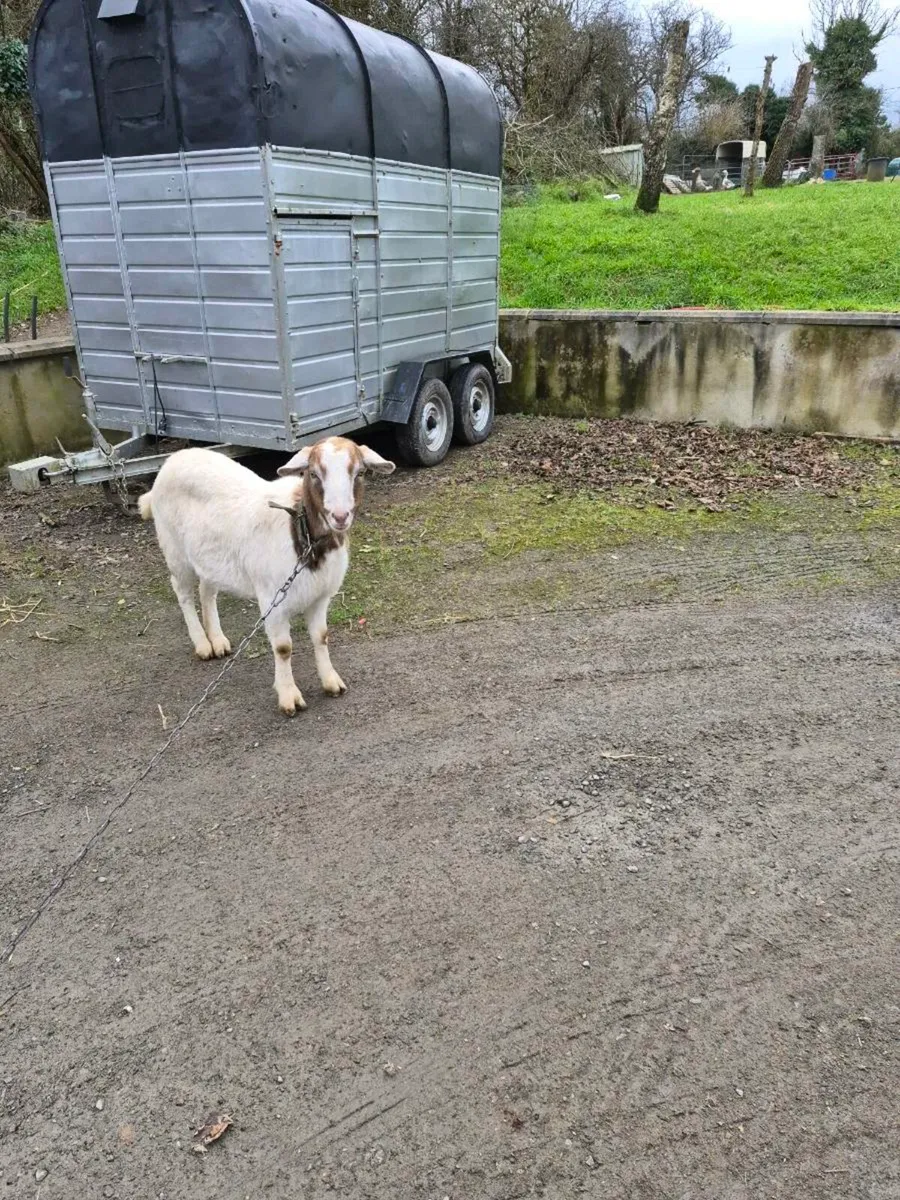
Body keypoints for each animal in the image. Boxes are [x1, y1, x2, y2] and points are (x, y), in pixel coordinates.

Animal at [138, 437, 395, 714]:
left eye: (359, 473)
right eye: (313, 474)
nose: (339, 516)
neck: (300, 533)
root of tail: (172, 461)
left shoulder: (319, 597)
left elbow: (321, 637)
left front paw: (331, 682)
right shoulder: (273, 599)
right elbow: (283, 649)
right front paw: (289, 697)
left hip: (209, 558)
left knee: (207, 591)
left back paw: (217, 640)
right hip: (174, 549)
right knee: (182, 592)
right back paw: (202, 644)